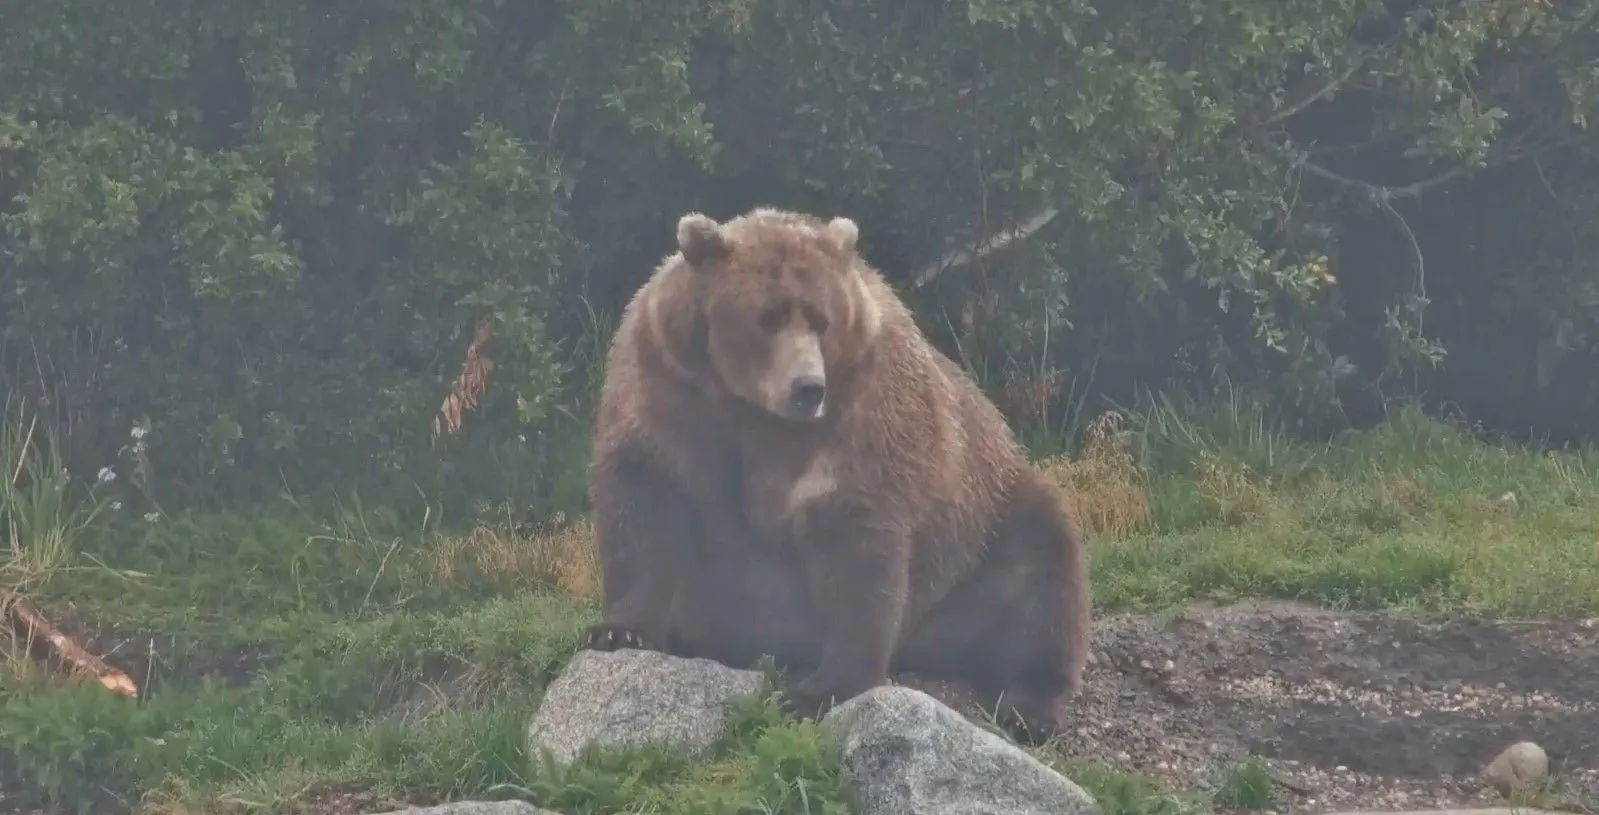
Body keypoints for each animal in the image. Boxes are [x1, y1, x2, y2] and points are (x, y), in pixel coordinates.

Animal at [583, 206, 1091, 745]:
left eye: (820, 319)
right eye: (767, 317)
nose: (807, 387)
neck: (751, 411)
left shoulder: (859, 422)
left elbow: (857, 553)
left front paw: (816, 691)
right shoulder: (667, 390)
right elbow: (645, 500)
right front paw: (619, 630)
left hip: (982, 532)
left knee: (1040, 572)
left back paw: (1029, 707)